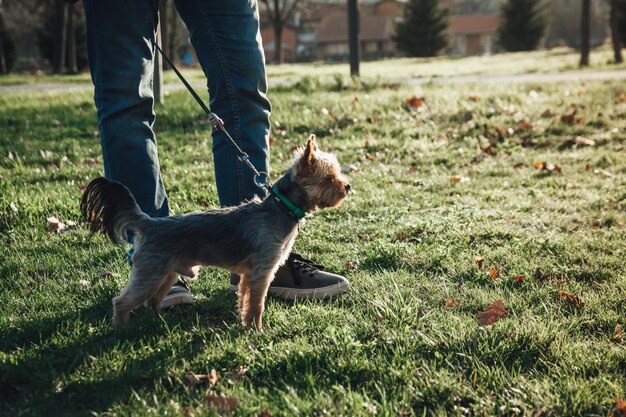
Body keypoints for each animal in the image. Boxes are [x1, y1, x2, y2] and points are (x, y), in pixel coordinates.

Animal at [80, 136, 348, 328]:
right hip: (150, 274)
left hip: (166, 274)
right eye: (329, 179)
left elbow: (245, 299)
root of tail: (148, 223)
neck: (283, 207)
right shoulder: (262, 271)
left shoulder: (248, 274)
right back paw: (120, 331)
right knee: (121, 302)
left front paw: (244, 323)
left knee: (152, 301)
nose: (347, 186)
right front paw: (257, 330)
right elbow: (257, 304)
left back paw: (158, 322)